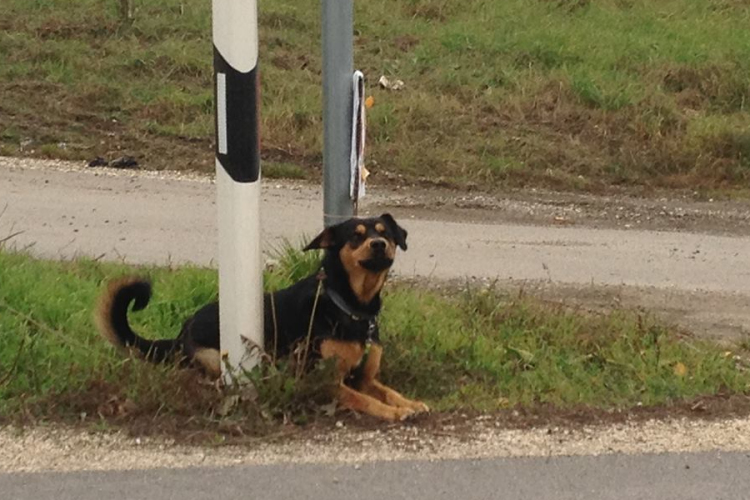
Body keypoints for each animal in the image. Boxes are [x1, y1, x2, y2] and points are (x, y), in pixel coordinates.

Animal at [95, 213, 428, 420]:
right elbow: (366, 400)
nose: (378, 244)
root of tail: (182, 330)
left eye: (385, 234)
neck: (351, 306)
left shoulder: (364, 377)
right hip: (214, 358)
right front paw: (394, 412)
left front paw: (409, 403)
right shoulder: (322, 380)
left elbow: (388, 392)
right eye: (355, 237)